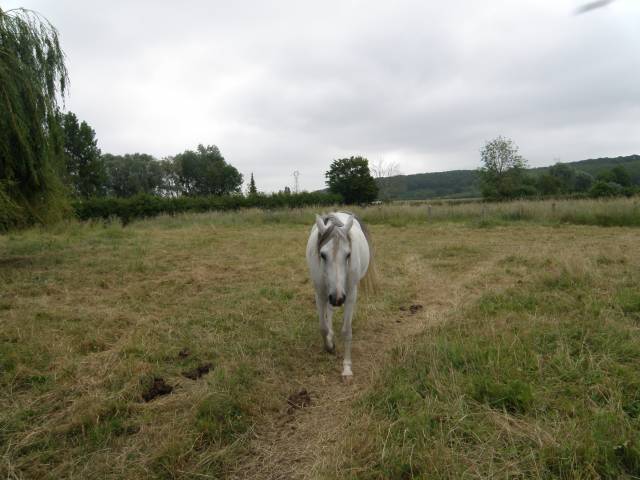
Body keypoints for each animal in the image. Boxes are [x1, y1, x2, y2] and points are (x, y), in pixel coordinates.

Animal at [305, 211, 376, 380]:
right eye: (322, 255)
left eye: (348, 254)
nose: (337, 299)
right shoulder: (320, 293)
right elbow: (323, 327)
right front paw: (329, 346)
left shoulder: (350, 295)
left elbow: (346, 331)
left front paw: (347, 368)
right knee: (329, 311)